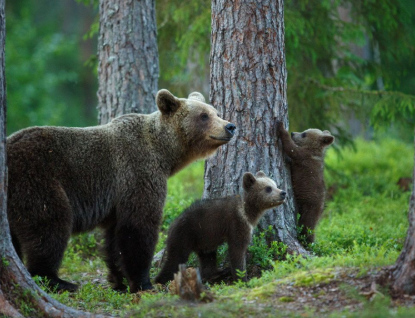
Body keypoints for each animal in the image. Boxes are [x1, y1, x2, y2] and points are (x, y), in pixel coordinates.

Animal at [6, 88, 236, 292]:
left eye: (216, 112)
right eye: (204, 115)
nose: (230, 126)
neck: (164, 154)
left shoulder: (117, 199)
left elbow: (115, 239)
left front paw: (120, 281)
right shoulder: (138, 173)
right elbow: (138, 227)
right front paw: (143, 283)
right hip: (37, 181)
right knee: (50, 227)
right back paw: (58, 281)